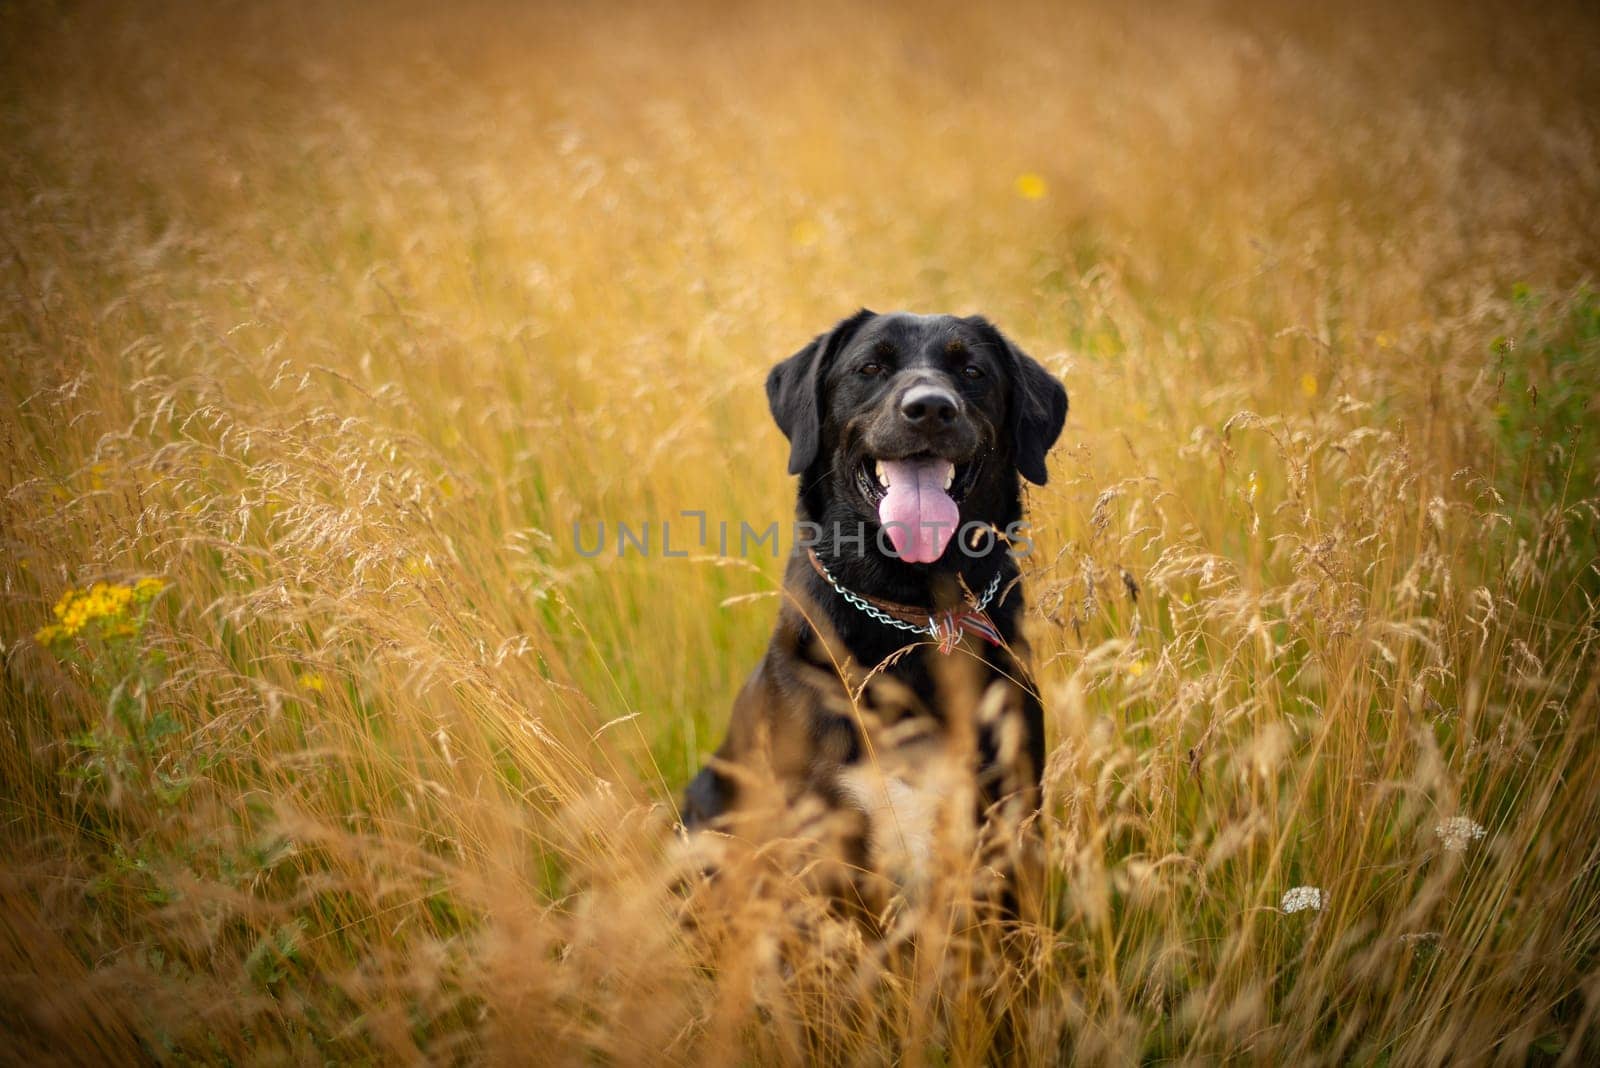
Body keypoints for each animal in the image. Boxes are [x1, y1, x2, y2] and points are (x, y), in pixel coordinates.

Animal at [681, 310, 1068, 901]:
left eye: (972, 371)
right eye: (870, 367)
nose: (930, 408)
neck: (917, 610)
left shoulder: (1006, 815)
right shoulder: (822, 841)